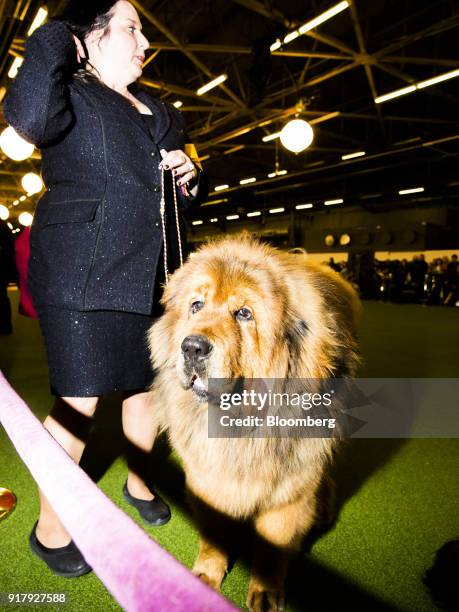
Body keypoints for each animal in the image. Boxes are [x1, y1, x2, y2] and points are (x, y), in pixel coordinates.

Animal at [149, 237, 362, 608]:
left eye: (244, 314)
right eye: (196, 305)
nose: (192, 347)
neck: (239, 422)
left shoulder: (288, 492)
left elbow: (271, 548)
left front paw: (265, 591)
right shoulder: (207, 479)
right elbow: (214, 537)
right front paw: (207, 576)